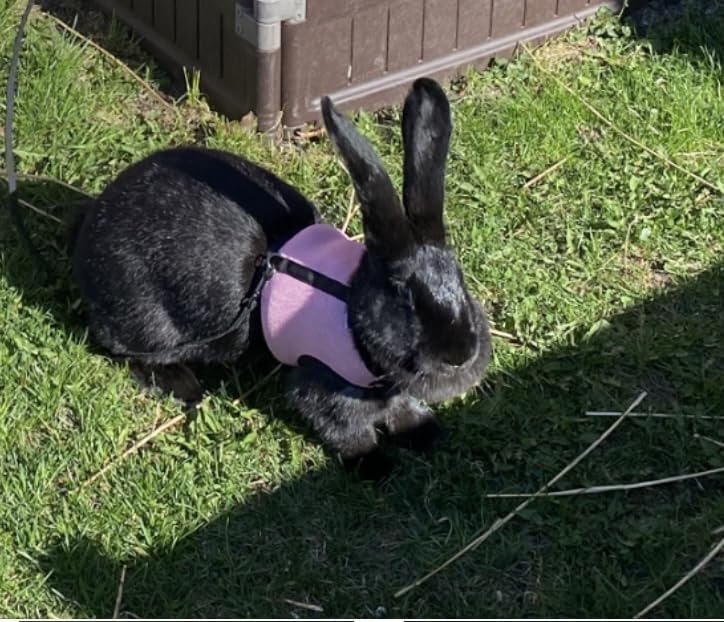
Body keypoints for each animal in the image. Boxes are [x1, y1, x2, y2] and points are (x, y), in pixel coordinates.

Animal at [70, 78, 491, 478]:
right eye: (404, 297)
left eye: (460, 280)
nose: (460, 354)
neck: (350, 307)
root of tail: (92, 228)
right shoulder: (322, 384)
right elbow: (347, 429)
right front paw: (373, 466)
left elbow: (402, 408)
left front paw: (425, 432)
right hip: (151, 325)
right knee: (128, 353)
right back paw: (186, 387)